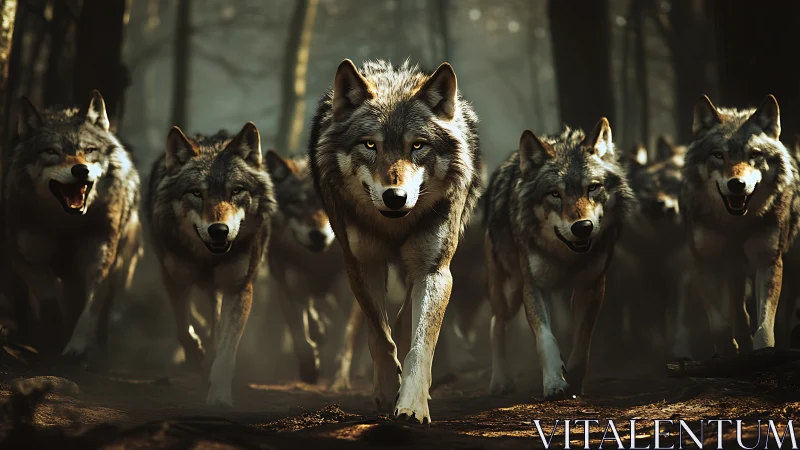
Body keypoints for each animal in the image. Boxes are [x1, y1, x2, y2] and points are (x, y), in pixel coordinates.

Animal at [3, 91, 142, 359]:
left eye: (89, 150)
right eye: (51, 151)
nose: (80, 170)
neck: (66, 223)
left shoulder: (99, 260)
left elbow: (90, 310)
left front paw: (77, 346)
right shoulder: (25, 258)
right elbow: (48, 296)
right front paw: (55, 334)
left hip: (120, 267)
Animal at [146, 123, 276, 407]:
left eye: (236, 190)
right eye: (197, 193)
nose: (219, 230)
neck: (207, 257)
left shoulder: (239, 288)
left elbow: (227, 352)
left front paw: (218, 397)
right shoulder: (174, 280)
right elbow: (183, 328)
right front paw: (195, 355)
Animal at [308, 58, 482, 423]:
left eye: (417, 145)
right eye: (369, 145)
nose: (395, 197)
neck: (394, 227)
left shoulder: (434, 270)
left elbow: (420, 344)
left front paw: (412, 403)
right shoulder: (362, 264)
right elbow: (379, 335)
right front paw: (388, 388)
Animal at [483, 120, 633, 399]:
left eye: (592, 187)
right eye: (554, 194)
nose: (583, 227)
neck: (568, 257)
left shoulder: (592, 285)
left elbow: (583, 341)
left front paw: (573, 376)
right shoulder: (534, 287)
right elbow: (546, 340)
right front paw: (554, 382)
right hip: (510, 292)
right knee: (496, 323)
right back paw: (500, 380)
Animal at [681, 95, 800, 356]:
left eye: (754, 154)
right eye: (718, 155)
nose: (737, 184)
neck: (736, 223)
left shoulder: (768, 262)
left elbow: (765, 326)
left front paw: (763, 351)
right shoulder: (704, 260)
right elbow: (718, 323)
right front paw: (727, 348)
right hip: (734, 270)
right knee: (739, 309)